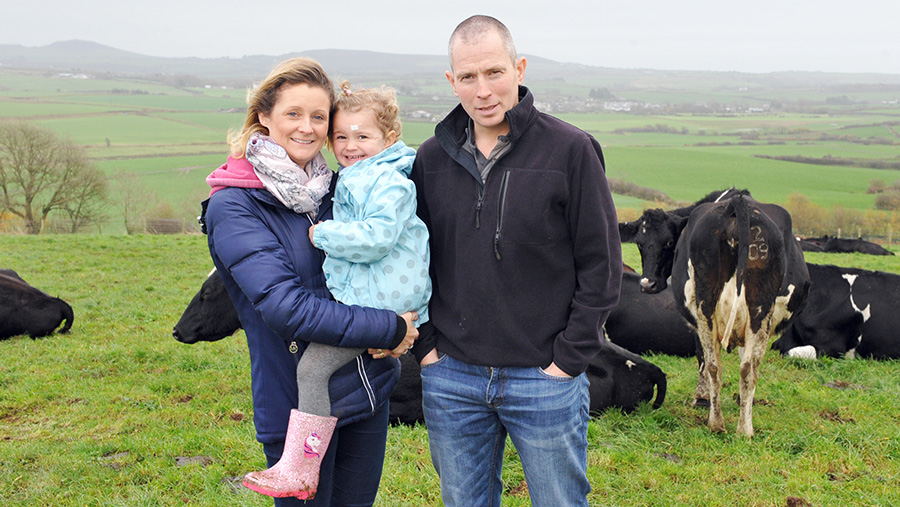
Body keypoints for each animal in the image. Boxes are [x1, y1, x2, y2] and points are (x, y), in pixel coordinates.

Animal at [620, 194, 808, 436]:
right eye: (640, 243)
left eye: (669, 243)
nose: (647, 284)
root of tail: (738, 203)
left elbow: (701, 357)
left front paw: (702, 398)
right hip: (758, 311)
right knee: (743, 368)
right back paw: (742, 429)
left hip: (707, 309)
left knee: (714, 365)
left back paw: (717, 423)